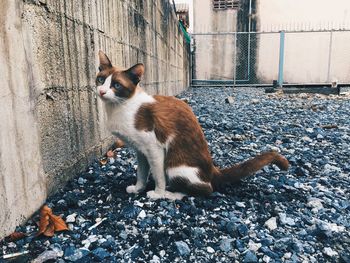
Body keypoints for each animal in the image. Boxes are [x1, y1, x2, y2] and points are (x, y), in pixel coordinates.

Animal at [94, 51, 288, 200]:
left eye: (116, 85)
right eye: (100, 80)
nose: (101, 91)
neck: (121, 107)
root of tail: (213, 170)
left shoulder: (154, 148)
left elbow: (158, 175)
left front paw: (157, 193)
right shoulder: (140, 151)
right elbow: (141, 173)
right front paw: (138, 188)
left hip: (174, 166)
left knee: (205, 189)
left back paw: (170, 194)